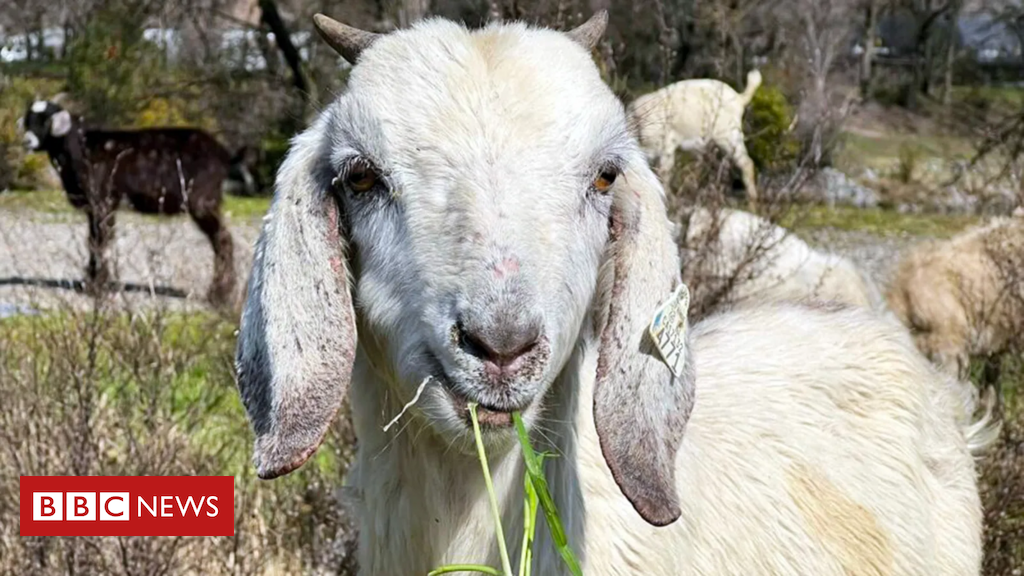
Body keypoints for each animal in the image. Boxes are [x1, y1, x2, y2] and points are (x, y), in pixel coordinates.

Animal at [19, 100, 248, 305]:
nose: (26, 141)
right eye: (29, 120)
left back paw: (220, 296)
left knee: (223, 240)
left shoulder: (105, 203)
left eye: (45, 121)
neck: (81, 148)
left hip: (202, 202)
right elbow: (92, 241)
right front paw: (90, 283)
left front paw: (98, 287)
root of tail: (225, 156)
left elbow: (102, 242)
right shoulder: (94, 209)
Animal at [627, 70, 762, 207]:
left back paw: (752, 202)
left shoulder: (666, 148)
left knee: (746, 163)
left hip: (729, 135)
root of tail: (740, 98)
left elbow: (663, 174)